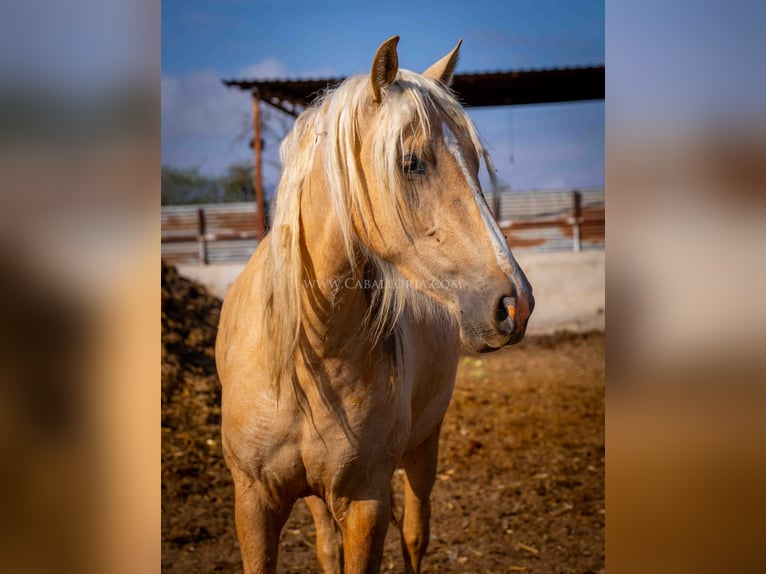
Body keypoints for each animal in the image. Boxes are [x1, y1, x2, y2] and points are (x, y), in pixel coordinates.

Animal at [218, 37, 536, 574]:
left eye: (475, 163)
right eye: (411, 163)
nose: (516, 305)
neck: (306, 354)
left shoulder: (366, 501)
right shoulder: (253, 502)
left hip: (423, 448)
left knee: (415, 534)